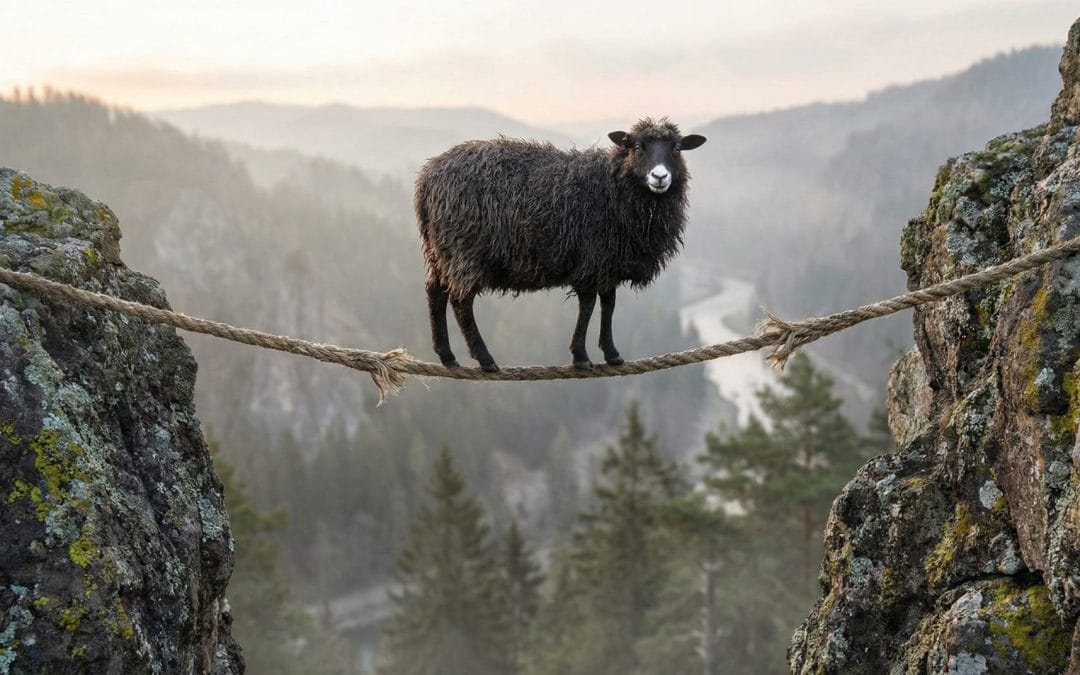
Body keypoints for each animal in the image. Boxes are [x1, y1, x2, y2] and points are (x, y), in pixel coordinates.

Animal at [415, 117, 706, 371]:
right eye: (637, 146)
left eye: (677, 148)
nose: (660, 177)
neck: (614, 187)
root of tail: (427, 179)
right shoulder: (591, 260)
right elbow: (588, 306)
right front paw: (581, 356)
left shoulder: (607, 263)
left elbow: (608, 304)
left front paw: (611, 353)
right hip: (464, 251)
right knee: (461, 301)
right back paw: (484, 358)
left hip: (440, 250)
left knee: (435, 292)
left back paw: (447, 355)